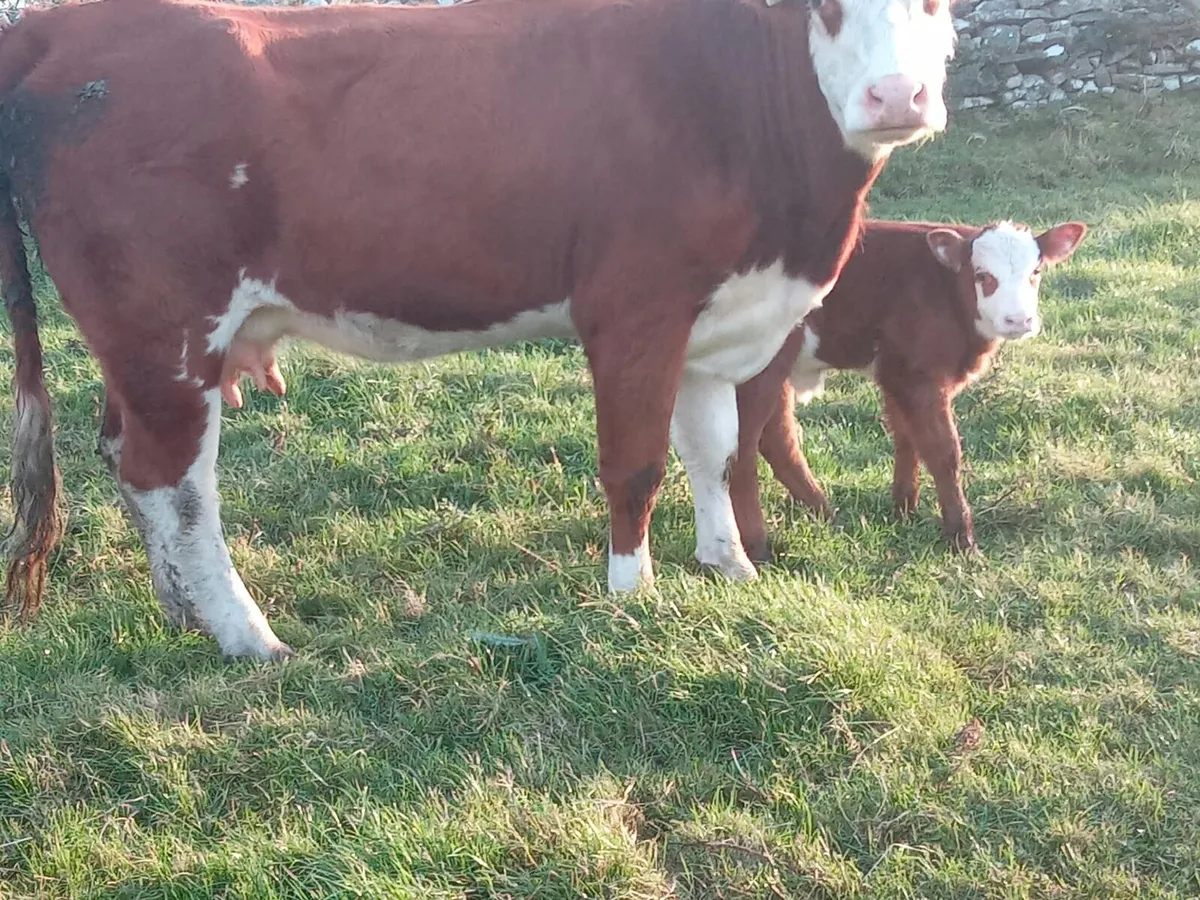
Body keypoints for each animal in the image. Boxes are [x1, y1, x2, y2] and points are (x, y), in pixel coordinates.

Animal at [0, 0, 956, 659]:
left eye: (935, 4)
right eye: (823, 5)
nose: (896, 95)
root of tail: (59, 22)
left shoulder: (716, 318)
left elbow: (711, 451)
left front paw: (730, 565)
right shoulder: (634, 309)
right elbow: (636, 464)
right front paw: (631, 593)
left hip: (142, 349)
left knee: (130, 461)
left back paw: (184, 613)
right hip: (168, 329)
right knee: (174, 477)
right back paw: (246, 634)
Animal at [726, 218, 1088, 560]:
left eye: (1035, 272)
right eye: (982, 275)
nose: (1019, 320)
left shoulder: (898, 373)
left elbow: (906, 436)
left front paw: (904, 509)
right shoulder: (920, 376)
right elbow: (944, 452)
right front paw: (962, 537)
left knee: (778, 439)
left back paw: (826, 514)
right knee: (743, 451)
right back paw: (758, 547)